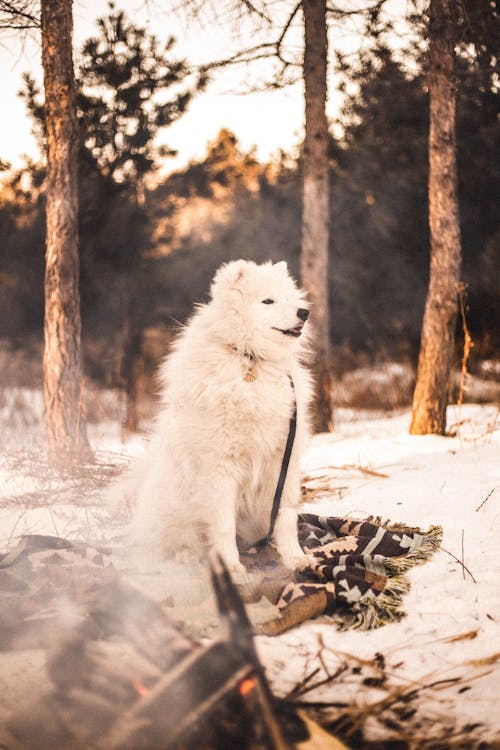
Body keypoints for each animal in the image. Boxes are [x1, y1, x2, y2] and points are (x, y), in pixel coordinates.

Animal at [124, 260, 312, 576]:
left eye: (290, 298)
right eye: (268, 301)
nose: (304, 312)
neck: (249, 358)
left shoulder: (282, 459)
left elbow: (286, 515)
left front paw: (295, 558)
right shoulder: (219, 466)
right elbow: (223, 525)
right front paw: (231, 567)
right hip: (177, 506)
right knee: (175, 542)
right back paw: (187, 556)